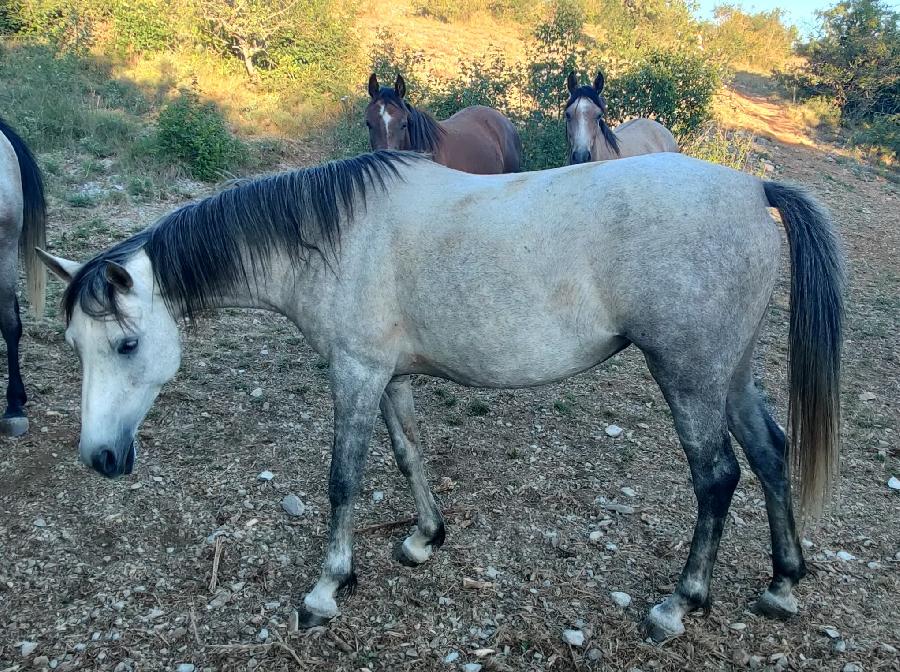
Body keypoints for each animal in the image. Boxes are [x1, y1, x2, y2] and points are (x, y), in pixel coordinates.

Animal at [38, 150, 843, 641]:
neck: (333, 238)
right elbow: (409, 456)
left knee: (717, 476)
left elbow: (343, 479)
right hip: (729, 374)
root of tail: (753, 188)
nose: (100, 457)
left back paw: (680, 603)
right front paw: (426, 538)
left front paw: (327, 588)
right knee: (770, 454)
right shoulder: (390, 377)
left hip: (688, 376)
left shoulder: (356, 373)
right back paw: (782, 584)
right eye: (75, 345)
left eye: (126, 345)